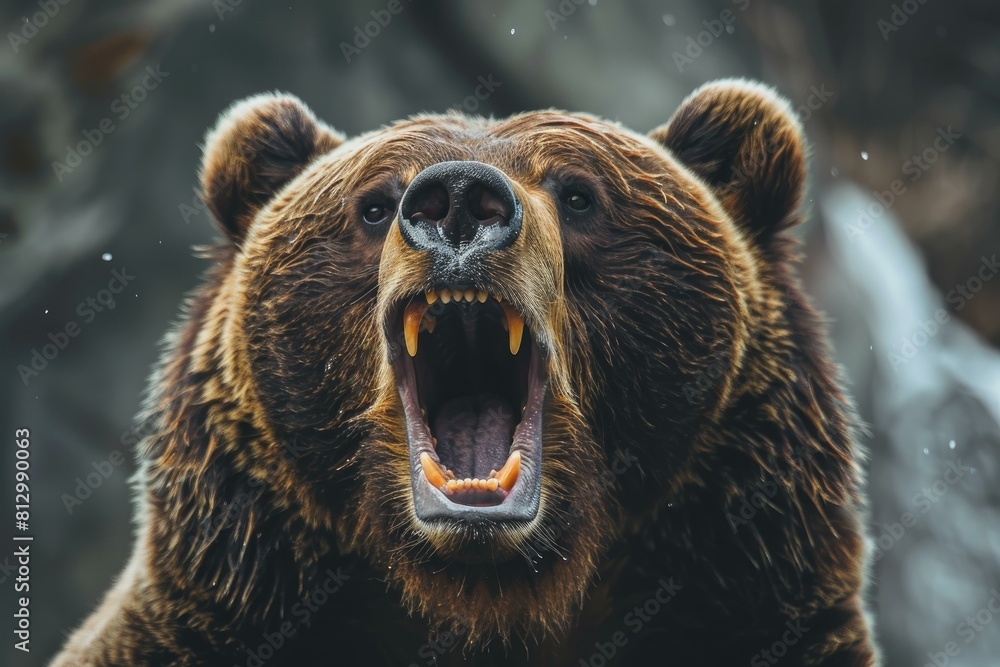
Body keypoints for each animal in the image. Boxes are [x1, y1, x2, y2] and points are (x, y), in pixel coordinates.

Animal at [53, 79, 878, 666]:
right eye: (374, 205)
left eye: (578, 193)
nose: (456, 200)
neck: (482, 597)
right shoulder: (220, 610)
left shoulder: (742, 596)